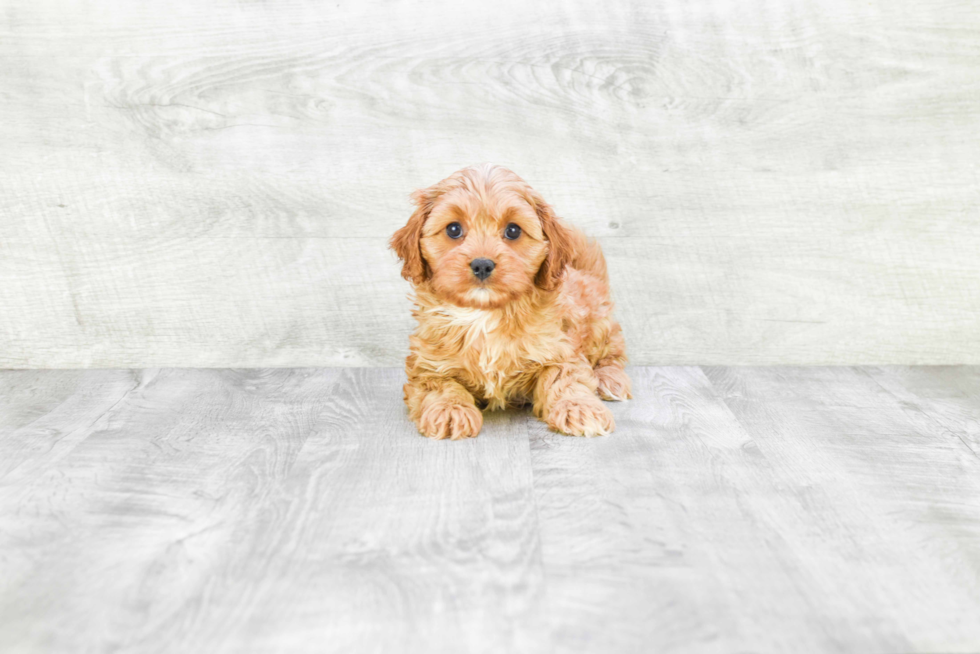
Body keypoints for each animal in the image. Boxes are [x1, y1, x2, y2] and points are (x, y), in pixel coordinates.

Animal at [386, 164, 632, 440]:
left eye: (513, 230)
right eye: (453, 229)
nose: (482, 264)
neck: (485, 315)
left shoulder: (561, 349)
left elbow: (564, 379)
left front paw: (579, 408)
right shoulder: (427, 364)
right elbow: (439, 385)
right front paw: (450, 410)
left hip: (600, 329)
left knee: (612, 356)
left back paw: (610, 380)